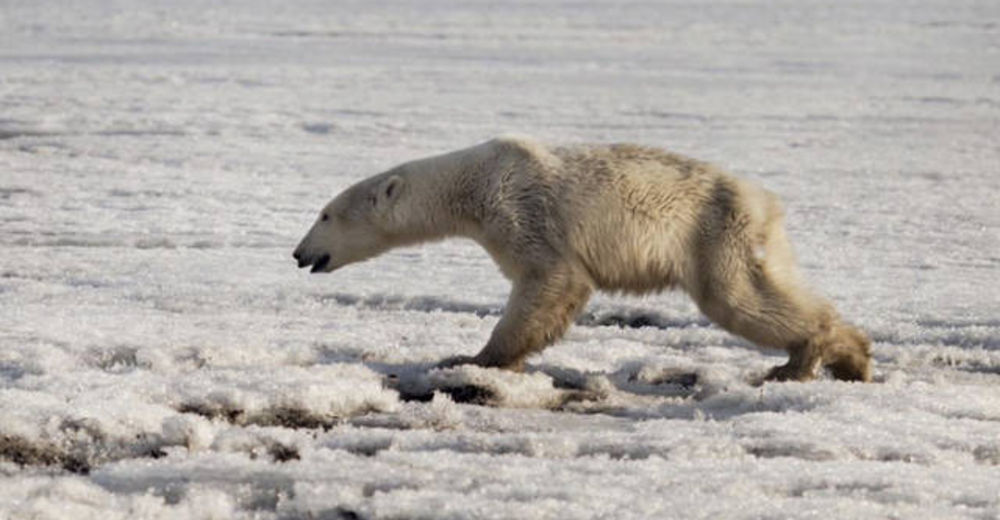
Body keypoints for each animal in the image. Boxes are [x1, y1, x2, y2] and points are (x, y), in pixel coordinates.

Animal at [292, 138, 872, 382]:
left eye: (324, 214)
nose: (299, 254)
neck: (474, 183)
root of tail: (765, 202)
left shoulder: (521, 209)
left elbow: (550, 280)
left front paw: (472, 358)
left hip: (714, 231)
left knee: (737, 299)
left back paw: (802, 360)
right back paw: (851, 356)